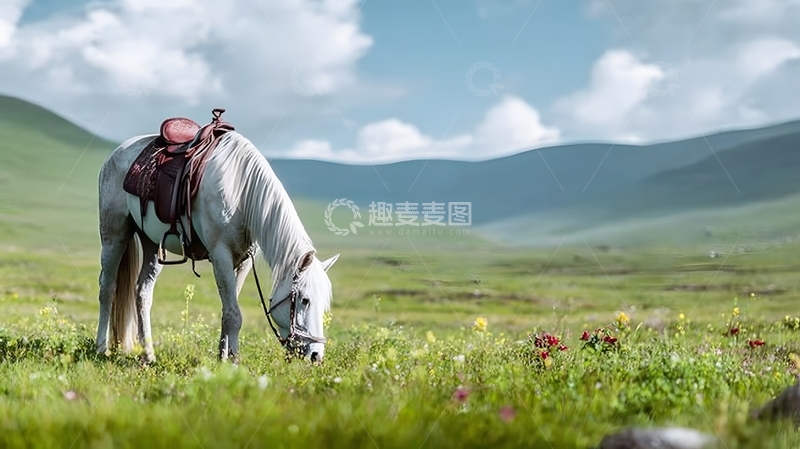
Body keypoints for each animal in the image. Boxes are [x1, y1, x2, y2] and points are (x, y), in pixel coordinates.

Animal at [96, 131, 339, 363]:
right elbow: (234, 315)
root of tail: (115, 154)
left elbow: (228, 310)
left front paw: (223, 356)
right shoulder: (221, 254)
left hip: (152, 245)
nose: (316, 355)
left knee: (142, 293)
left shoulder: (243, 261)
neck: (243, 191)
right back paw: (101, 348)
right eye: (305, 300)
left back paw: (148, 355)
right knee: (107, 288)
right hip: (114, 236)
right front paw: (234, 361)